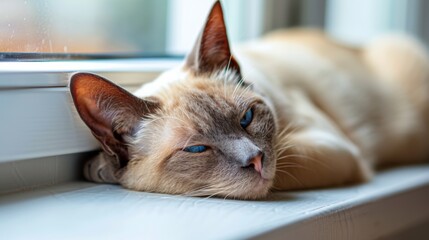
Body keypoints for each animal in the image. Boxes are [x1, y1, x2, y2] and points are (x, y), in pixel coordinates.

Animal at [69, 0, 428, 200]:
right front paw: (101, 168)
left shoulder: (331, 148)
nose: (255, 159)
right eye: (197, 149)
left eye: (246, 119)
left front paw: (100, 168)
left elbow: (281, 167)